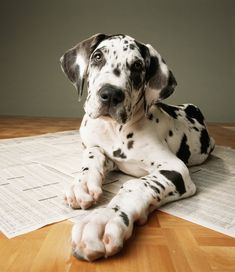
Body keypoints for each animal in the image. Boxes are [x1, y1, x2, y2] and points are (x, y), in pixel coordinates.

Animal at [60, 34, 215, 262]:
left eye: (137, 66)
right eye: (97, 56)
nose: (110, 94)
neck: (114, 129)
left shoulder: (175, 168)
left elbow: (136, 185)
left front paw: (106, 218)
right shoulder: (104, 152)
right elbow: (93, 152)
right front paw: (83, 183)